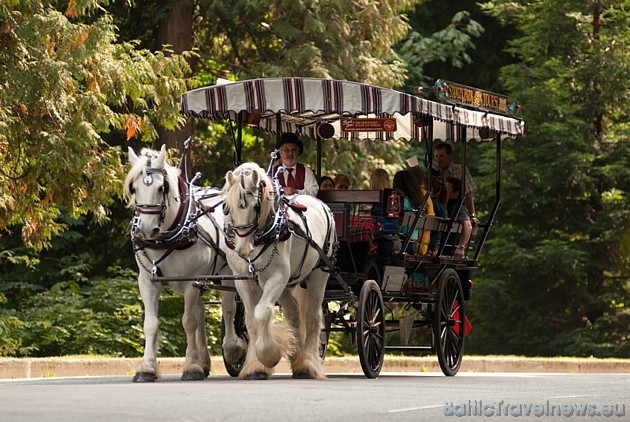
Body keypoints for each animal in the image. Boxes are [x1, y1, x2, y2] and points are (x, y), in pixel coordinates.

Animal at [124, 145, 247, 382]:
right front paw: (147, 368)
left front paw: (190, 367)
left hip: (228, 274)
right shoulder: (147, 282)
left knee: (228, 309)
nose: (146, 229)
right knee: (201, 312)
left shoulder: (191, 281)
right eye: (133, 188)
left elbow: (188, 322)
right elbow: (151, 324)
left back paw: (233, 349)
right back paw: (204, 361)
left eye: (162, 187)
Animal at [225, 162, 338, 380]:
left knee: (312, 317)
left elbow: (263, 312)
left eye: (255, 206)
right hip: (289, 283)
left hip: (319, 273)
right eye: (229, 207)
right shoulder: (243, 281)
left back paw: (307, 364)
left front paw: (268, 355)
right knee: (293, 311)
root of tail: (321, 204)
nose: (242, 249)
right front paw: (255, 365)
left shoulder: (277, 277)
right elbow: (251, 320)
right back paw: (296, 352)